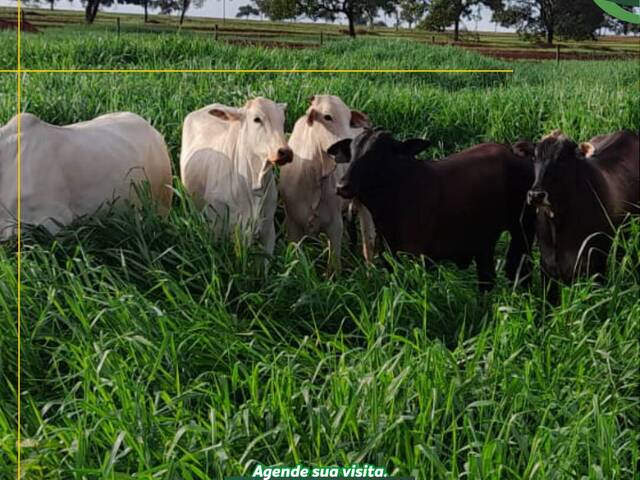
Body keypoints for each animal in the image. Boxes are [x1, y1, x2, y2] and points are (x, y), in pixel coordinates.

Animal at [278, 94, 376, 270]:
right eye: (327, 117)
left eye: (349, 120)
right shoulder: (293, 226)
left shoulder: (335, 226)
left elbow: (334, 267)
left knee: (368, 242)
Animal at [330, 127, 536, 290]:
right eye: (351, 153)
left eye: (378, 154)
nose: (342, 186)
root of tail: (514, 151)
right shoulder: (391, 257)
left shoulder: (422, 259)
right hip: (486, 242)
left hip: (523, 232)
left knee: (520, 271)